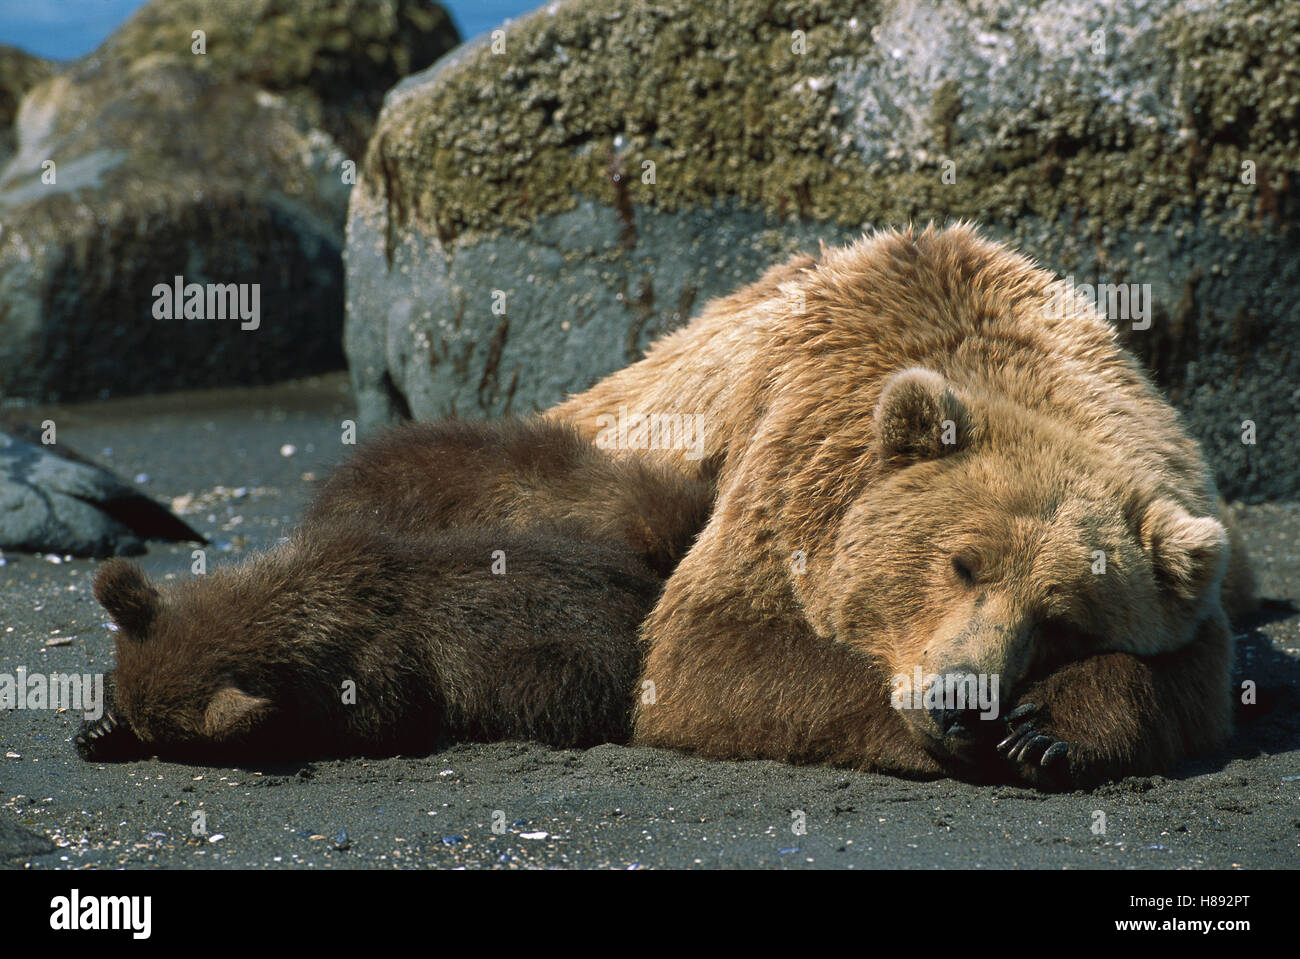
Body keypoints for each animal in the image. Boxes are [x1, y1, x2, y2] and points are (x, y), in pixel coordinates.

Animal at [77, 521, 661, 763]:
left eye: (168, 739)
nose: (129, 726)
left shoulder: (378, 674)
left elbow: (378, 724)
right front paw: (101, 726)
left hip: (565, 662)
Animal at [546, 222, 1254, 789]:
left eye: (1062, 622)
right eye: (963, 565)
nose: (962, 701)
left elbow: (1187, 674)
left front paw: (1048, 733)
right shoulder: (792, 465)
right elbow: (711, 649)